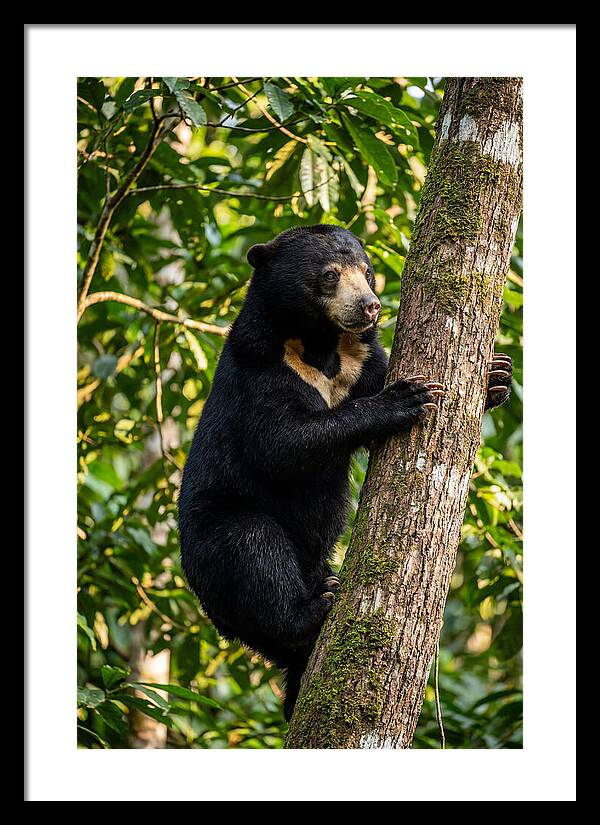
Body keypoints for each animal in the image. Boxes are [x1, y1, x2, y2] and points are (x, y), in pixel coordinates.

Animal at [178, 224, 512, 722]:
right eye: (330, 275)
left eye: (369, 272)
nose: (370, 305)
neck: (320, 345)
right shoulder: (259, 369)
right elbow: (281, 444)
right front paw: (405, 398)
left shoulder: (361, 360)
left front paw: (496, 376)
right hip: (214, 537)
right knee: (253, 548)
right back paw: (314, 608)